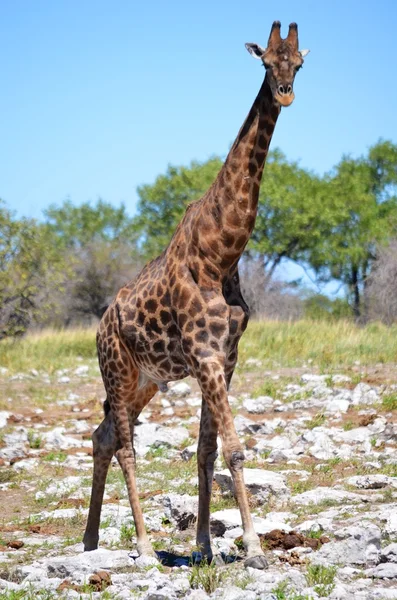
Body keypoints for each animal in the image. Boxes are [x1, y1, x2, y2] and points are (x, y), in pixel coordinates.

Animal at [83, 21, 310, 568]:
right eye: (266, 61)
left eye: (299, 62)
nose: (285, 93)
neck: (220, 252)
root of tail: (100, 326)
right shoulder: (205, 356)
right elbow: (234, 449)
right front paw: (253, 547)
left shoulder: (225, 357)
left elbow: (208, 451)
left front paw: (206, 546)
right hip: (116, 371)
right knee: (125, 446)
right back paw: (143, 545)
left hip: (144, 380)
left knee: (103, 436)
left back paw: (91, 541)